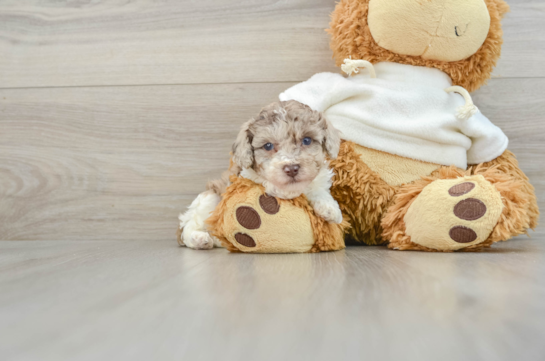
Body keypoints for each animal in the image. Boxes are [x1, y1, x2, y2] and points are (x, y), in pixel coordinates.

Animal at [178, 100, 340, 249]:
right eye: (268, 146)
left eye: (307, 140)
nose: (292, 169)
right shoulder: (246, 176)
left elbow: (317, 187)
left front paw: (330, 208)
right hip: (210, 198)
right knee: (190, 225)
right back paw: (199, 239)